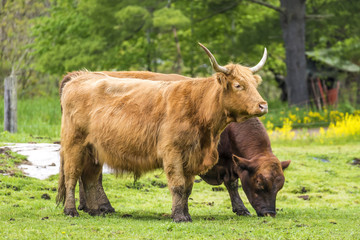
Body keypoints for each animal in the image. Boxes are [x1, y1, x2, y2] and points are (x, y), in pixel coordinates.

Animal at [58, 43, 268, 221]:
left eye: (254, 84)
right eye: (238, 85)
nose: (263, 105)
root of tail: (79, 77)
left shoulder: (191, 156)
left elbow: (188, 188)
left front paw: (185, 214)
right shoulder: (172, 152)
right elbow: (178, 185)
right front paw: (179, 216)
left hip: (94, 150)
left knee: (91, 178)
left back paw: (97, 210)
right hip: (75, 144)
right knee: (71, 176)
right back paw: (71, 210)